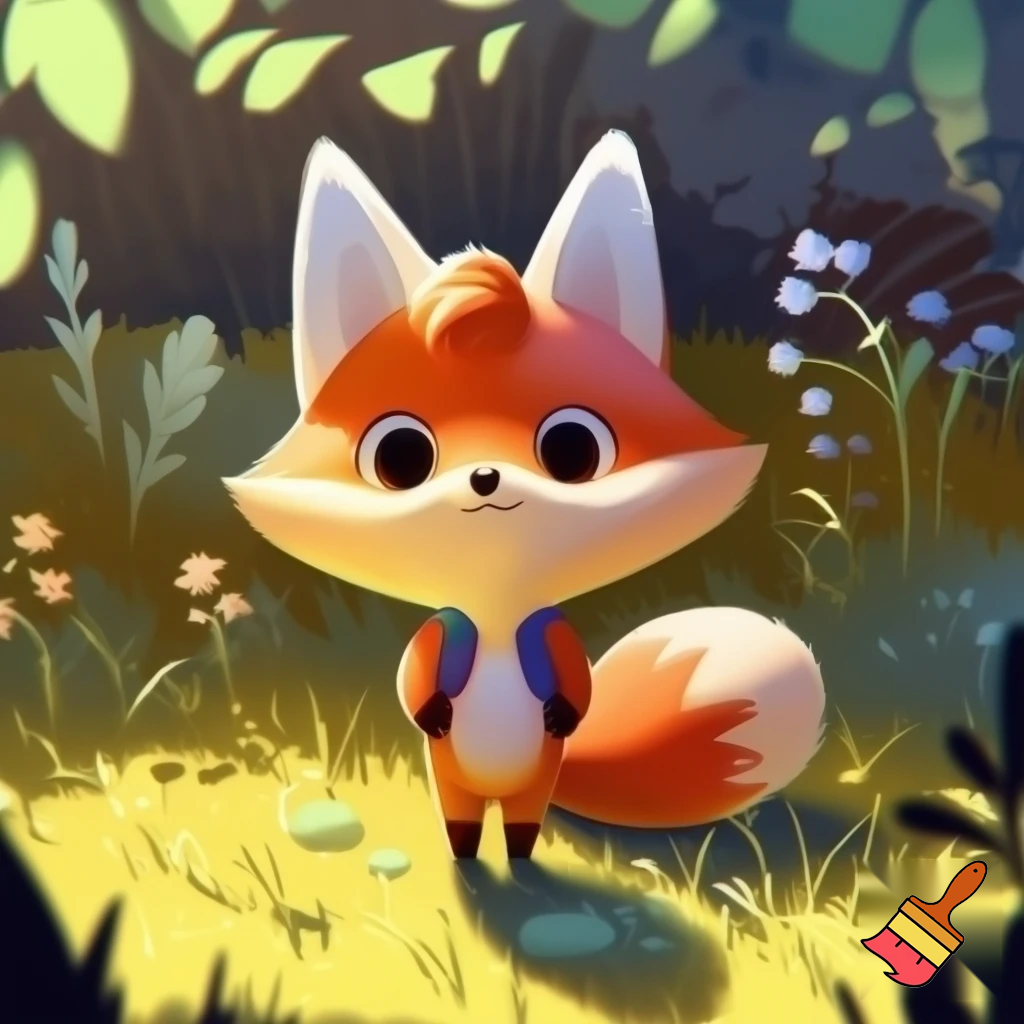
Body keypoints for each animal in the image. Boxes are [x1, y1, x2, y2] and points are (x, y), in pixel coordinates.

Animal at [224, 131, 826, 861]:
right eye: (400, 457)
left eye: (573, 449)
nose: (486, 477)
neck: (496, 615)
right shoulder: (448, 628)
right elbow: (417, 673)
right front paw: (433, 710)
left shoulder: (545, 630)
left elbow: (575, 683)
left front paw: (561, 710)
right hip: (452, 780)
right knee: (460, 818)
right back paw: (464, 856)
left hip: (534, 782)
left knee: (519, 824)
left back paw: (514, 855)